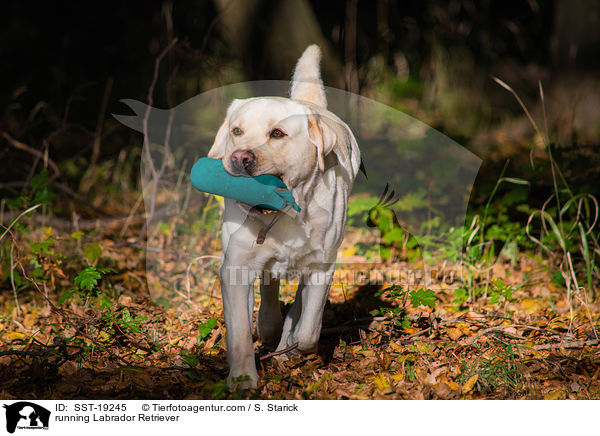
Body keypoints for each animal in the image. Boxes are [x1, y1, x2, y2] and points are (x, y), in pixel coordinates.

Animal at [210, 44, 360, 386]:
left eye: (277, 133)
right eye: (236, 131)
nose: (239, 157)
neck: (284, 213)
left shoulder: (322, 267)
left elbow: (308, 332)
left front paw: (290, 347)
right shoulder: (235, 267)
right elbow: (240, 332)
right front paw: (243, 379)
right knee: (268, 287)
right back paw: (269, 325)